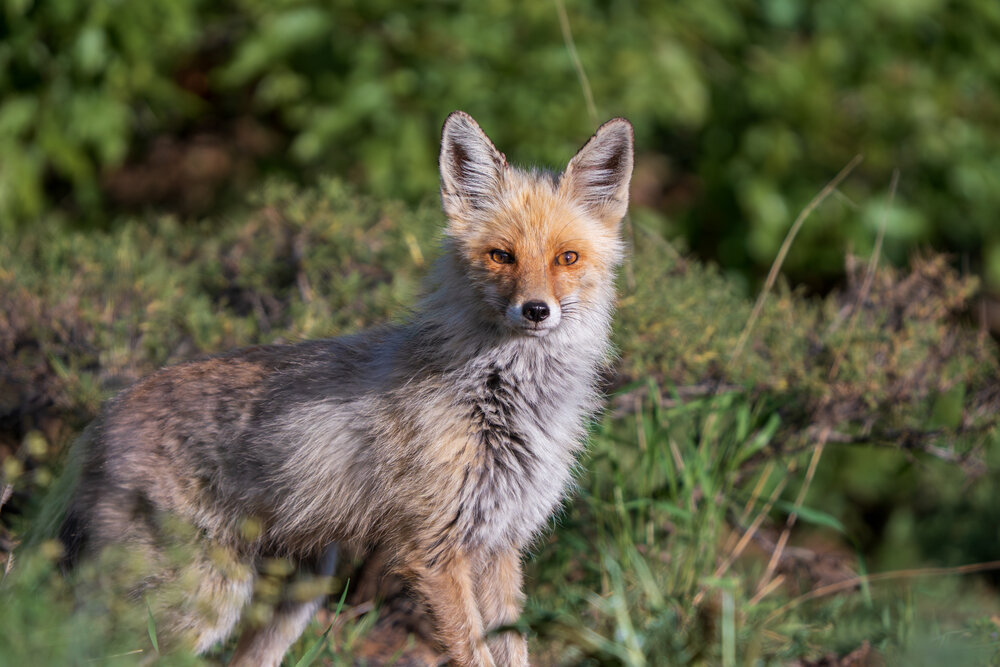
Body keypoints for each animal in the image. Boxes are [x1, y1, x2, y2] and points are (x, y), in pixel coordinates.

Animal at [58, 111, 634, 666]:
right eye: (501, 256)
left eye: (567, 258)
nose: (536, 310)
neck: (503, 403)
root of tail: (101, 420)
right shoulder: (432, 550)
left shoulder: (499, 545)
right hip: (201, 600)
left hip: (299, 592)